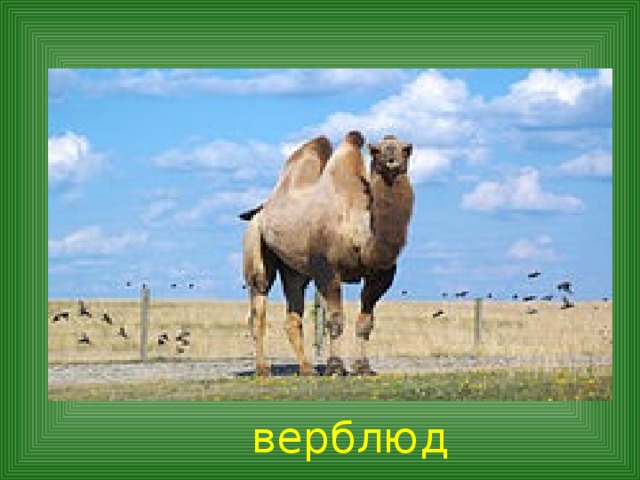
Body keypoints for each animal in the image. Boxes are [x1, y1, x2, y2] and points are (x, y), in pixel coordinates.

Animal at [241, 131, 414, 376]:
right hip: (255, 243)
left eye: (407, 149)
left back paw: (307, 369)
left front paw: (363, 367)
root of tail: (260, 211)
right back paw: (263, 369)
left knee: (293, 310)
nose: (392, 160)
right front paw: (335, 367)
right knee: (258, 301)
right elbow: (335, 320)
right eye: (375, 150)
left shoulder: (381, 275)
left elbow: (365, 322)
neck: (359, 232)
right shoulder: (326, 269)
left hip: (294, 270)